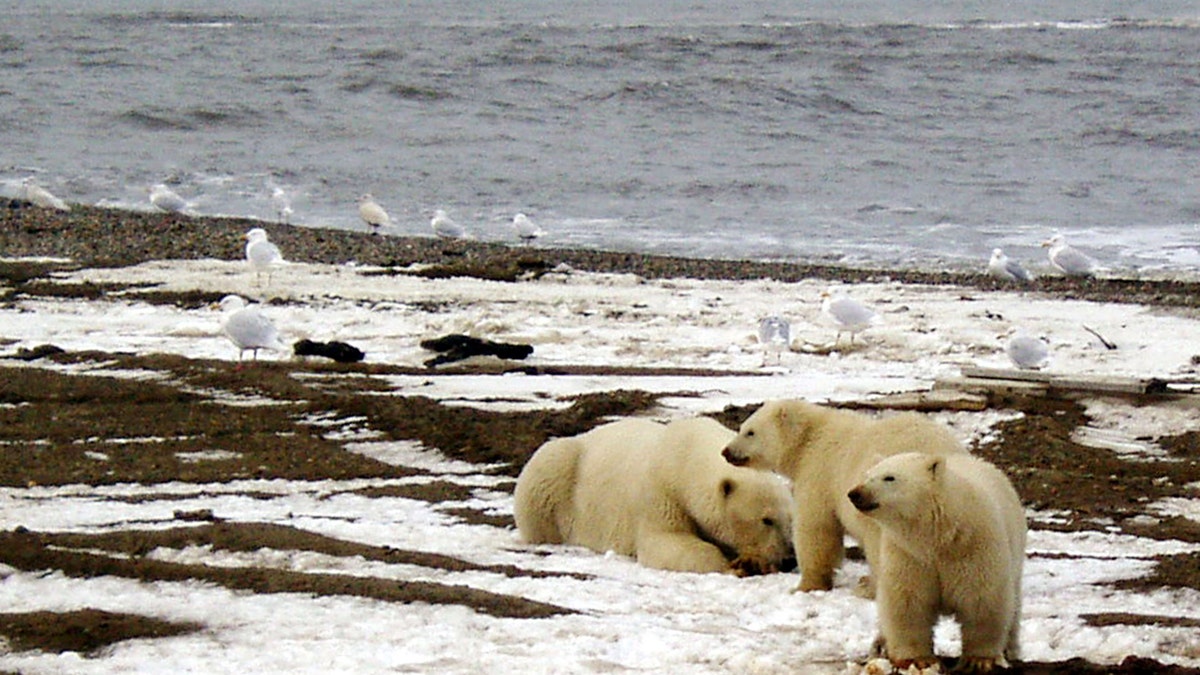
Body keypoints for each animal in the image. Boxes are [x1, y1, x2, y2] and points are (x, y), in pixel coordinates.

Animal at [511, 415, 792, 571]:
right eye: (766, 519)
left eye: (790, 519)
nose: (789, 558)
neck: (686, 457)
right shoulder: (661, 494)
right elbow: (667, 542)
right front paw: (734, 566)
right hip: (558, 472)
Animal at [715, 396, 960, 590]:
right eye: (742, 427)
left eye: (750, 432)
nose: (726, 451)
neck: (809, 438)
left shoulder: (820, 472)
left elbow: (817, 527)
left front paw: (807, 585)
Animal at [844, 449, 1022, 667]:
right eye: (867, 475)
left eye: (889, 477)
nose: (855, 493)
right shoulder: (908, 555)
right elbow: (908, 601)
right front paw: (917, 660)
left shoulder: (975, 547)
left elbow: (981, 599)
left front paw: (978, 659)